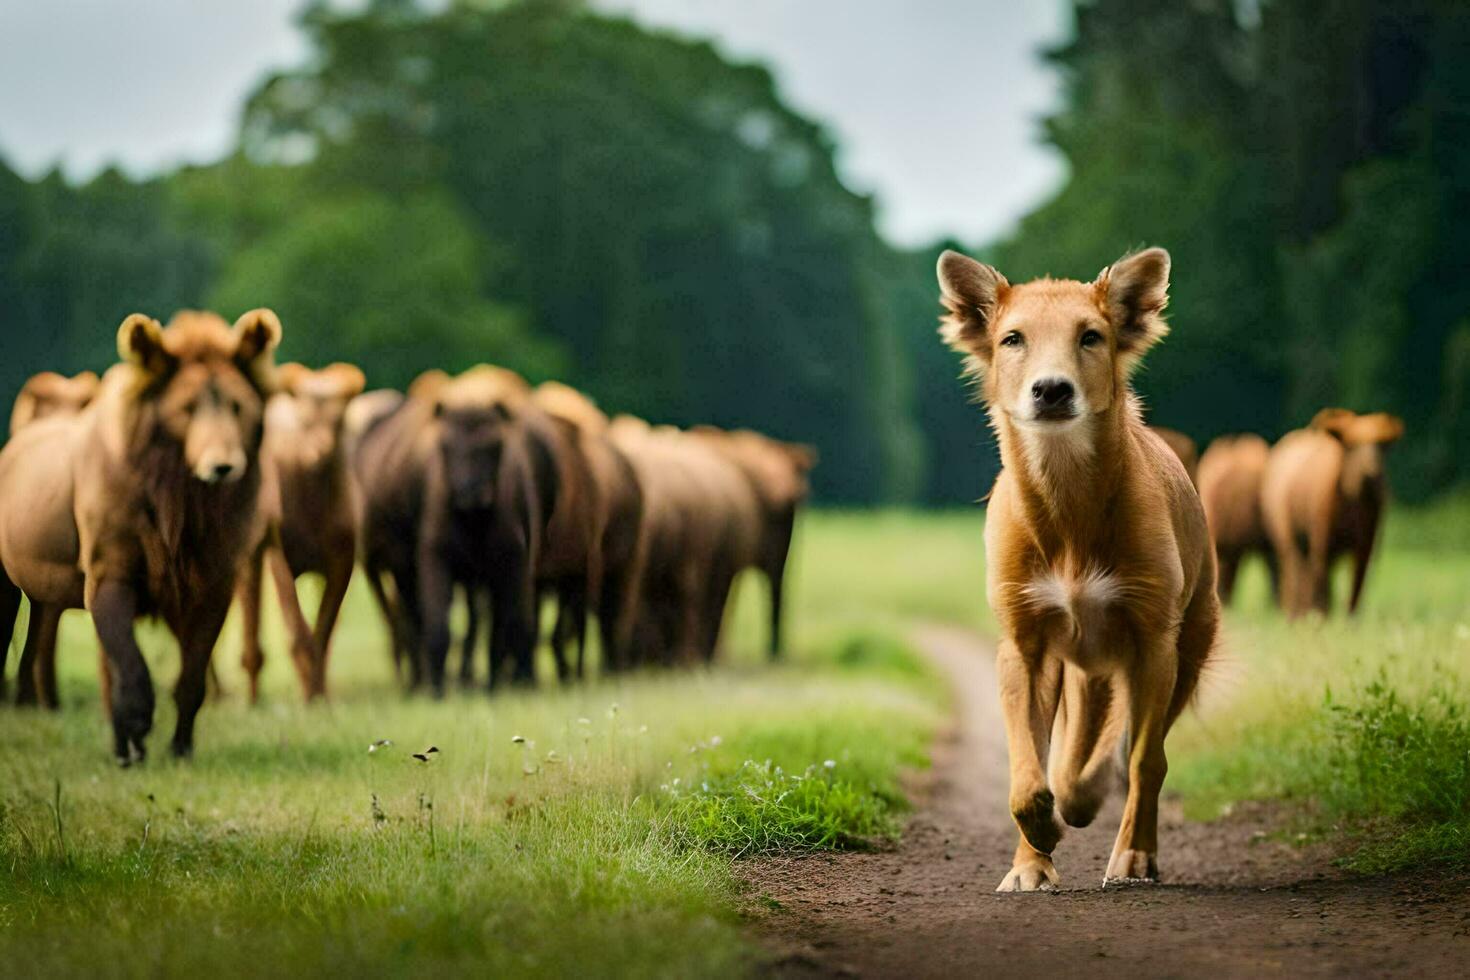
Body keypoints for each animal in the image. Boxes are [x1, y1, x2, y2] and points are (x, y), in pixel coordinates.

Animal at [0, 310, 280, 764]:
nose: (223, 466)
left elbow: (192, 677)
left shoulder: (212, 583)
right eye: (187, 407)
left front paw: (180, 748)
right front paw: (135, 731)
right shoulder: (108, 573)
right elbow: (130, 667)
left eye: (238, 406)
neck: (181, 496)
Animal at [238, 364, 367, 702]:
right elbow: (298, 633)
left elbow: (324, 630)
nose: (319, 451)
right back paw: (251, 698)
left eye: (339, 420)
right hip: (250, 550)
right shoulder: (280, 556)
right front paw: (309, 697)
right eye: (304, 421)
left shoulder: (343, 559)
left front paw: (318, 695)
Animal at [940, 243, 1217, 887]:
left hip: (1190, 642)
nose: (1052, 390)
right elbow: (1028, 767)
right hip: (1082, 667)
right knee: (1070, 757)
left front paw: (1134, 855)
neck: (1069, 510)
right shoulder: (1024, 642)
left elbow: (1145, 759)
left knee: (1139, 749)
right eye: (1012, 338)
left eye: (1091, 336)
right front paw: (1032, 857)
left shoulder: (1153, 641)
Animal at [1258, 411, 1405, 617]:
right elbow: (1322, 579)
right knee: (1295, 570)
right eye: (1351, 446)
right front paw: (1322, 616)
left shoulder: (1368, 539)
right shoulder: (1322, 535)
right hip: (1286, 531)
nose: (1370, 473)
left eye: (1381, 447)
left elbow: (1358, 582)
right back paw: (1296, 614)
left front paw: (1350, 619)